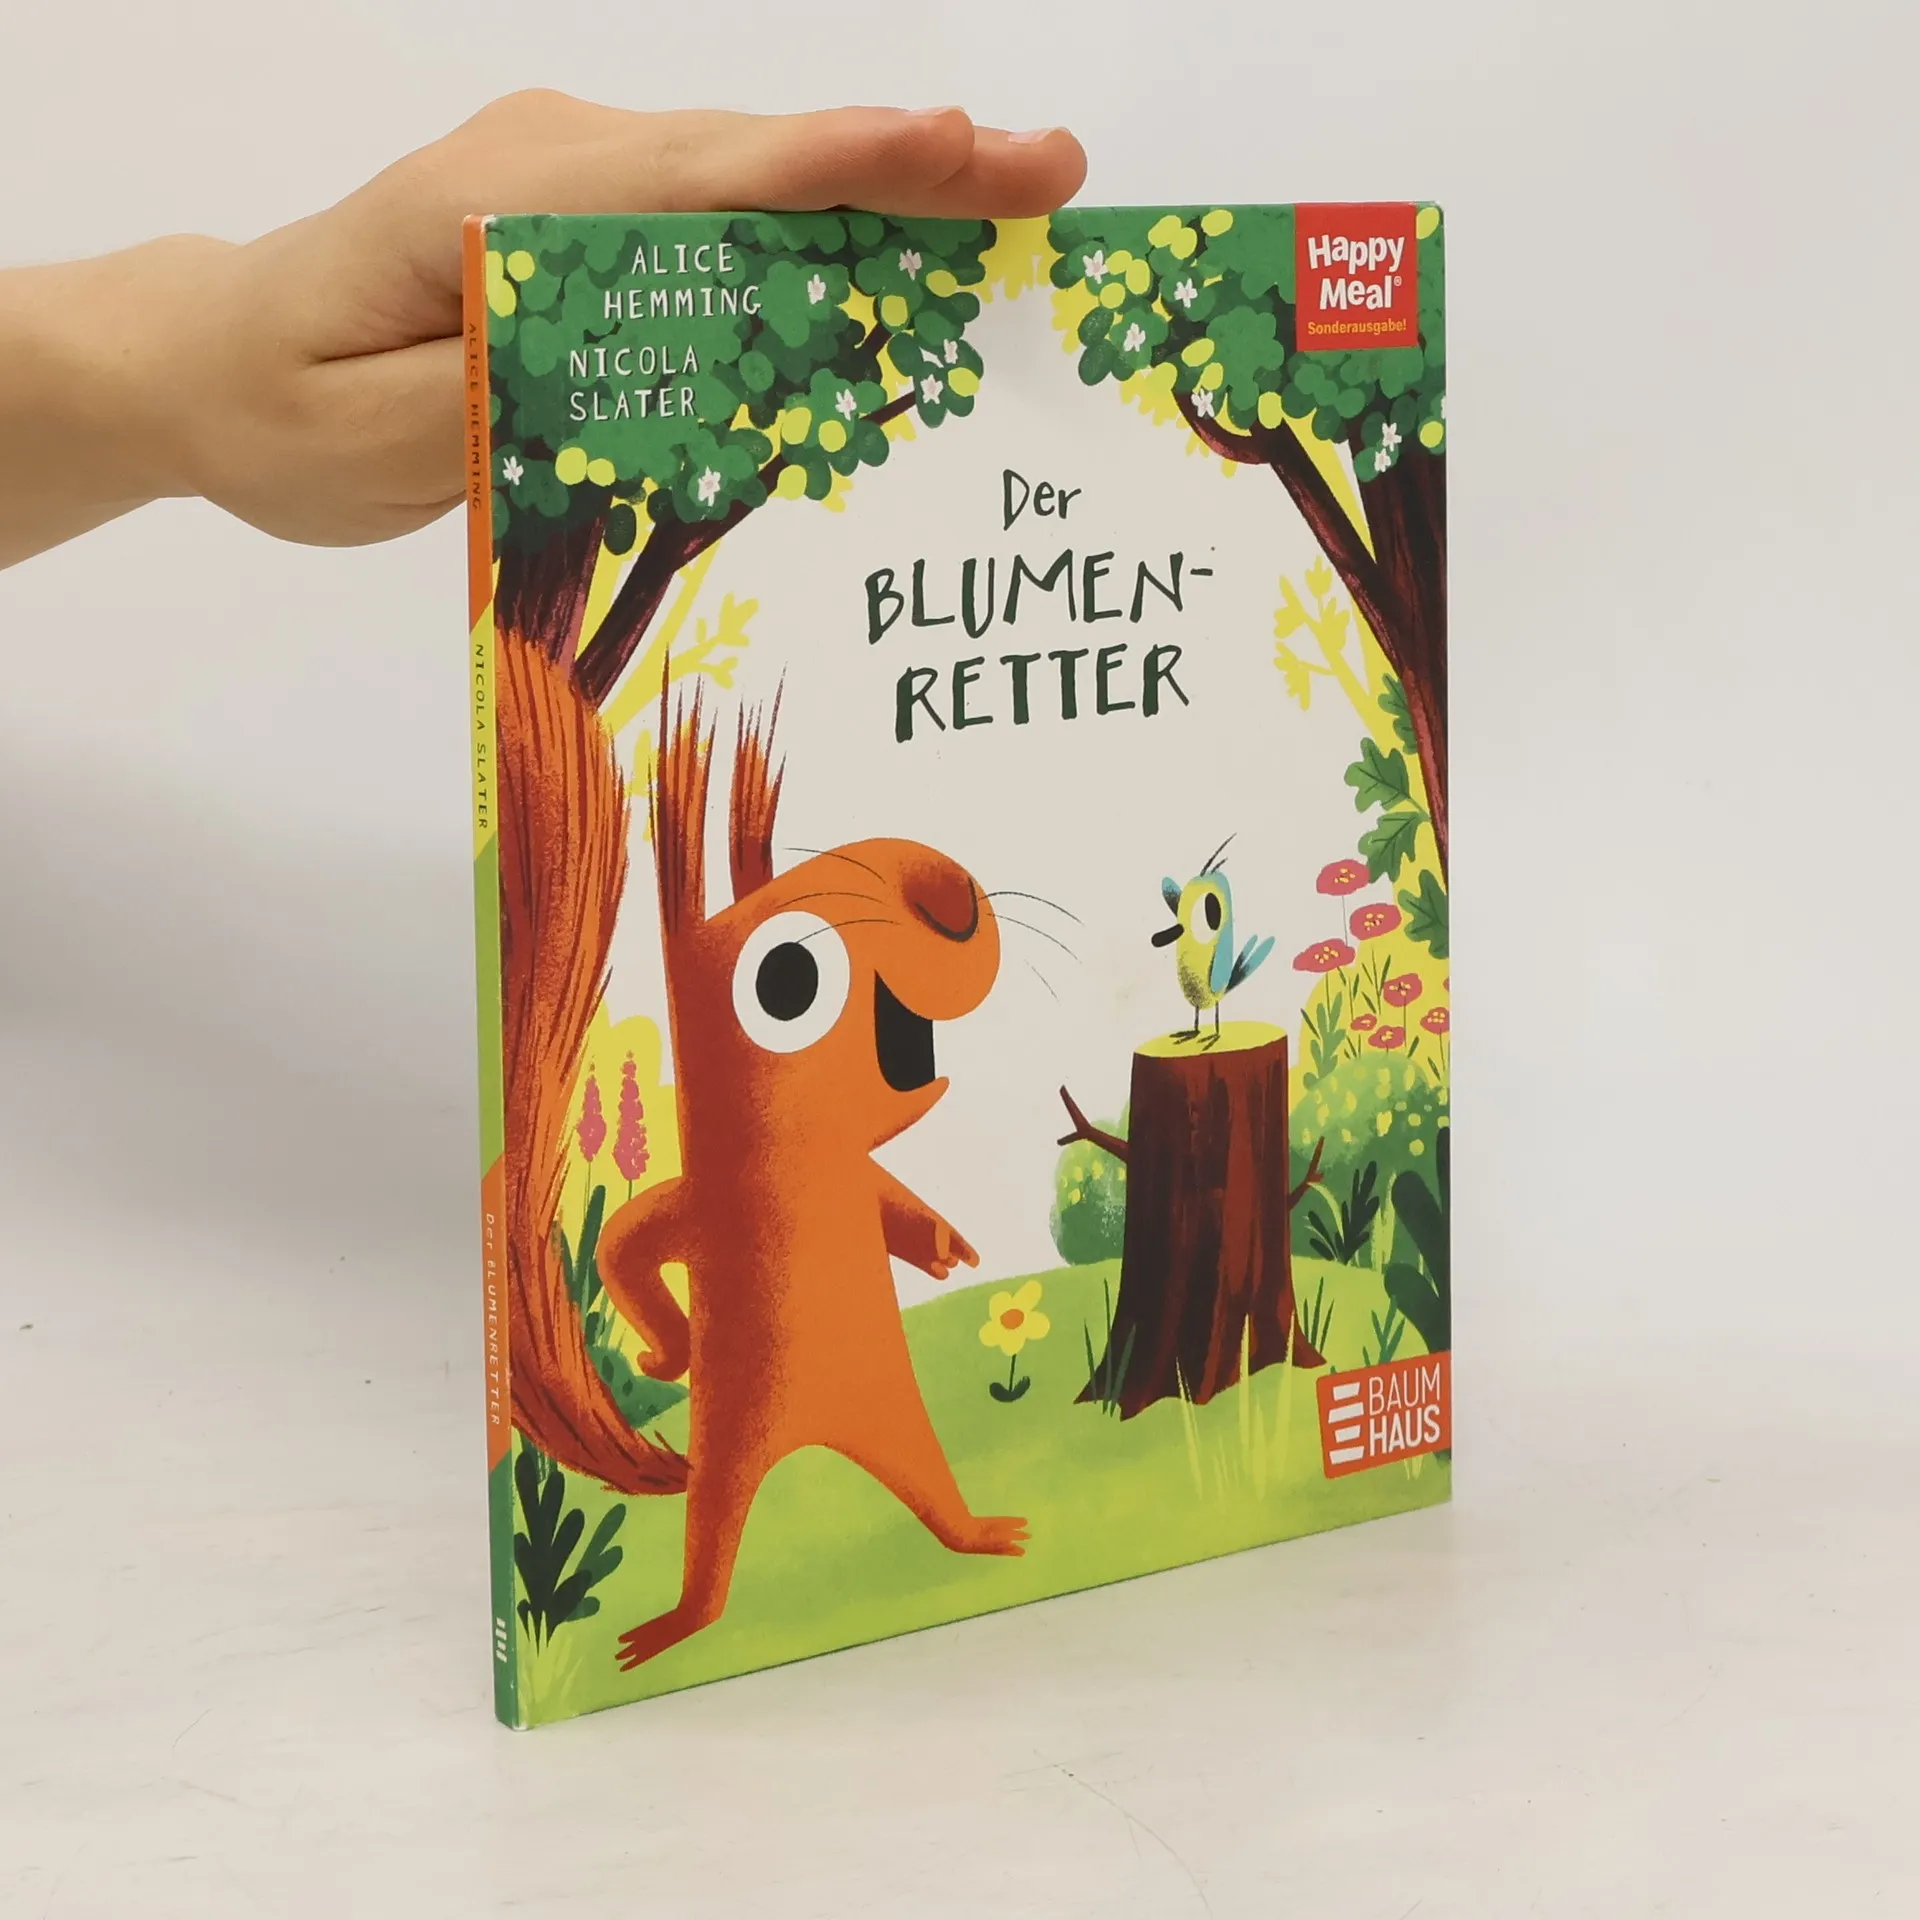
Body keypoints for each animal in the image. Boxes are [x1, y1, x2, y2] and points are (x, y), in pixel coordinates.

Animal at [597, 688, 1027, 1671]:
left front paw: (945, 1248)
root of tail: (811, 1440)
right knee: (712, 1538)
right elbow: (626, 1246)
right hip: (730, 1459)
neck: (808, 1167)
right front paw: (667, 1353)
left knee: (929, 1485)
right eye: (787, 978)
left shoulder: (857, 1178)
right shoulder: (709, 1201)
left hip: (897, 1417)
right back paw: (690, 1618)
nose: (946, 892)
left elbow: (892, 1202)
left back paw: (975, 1533)